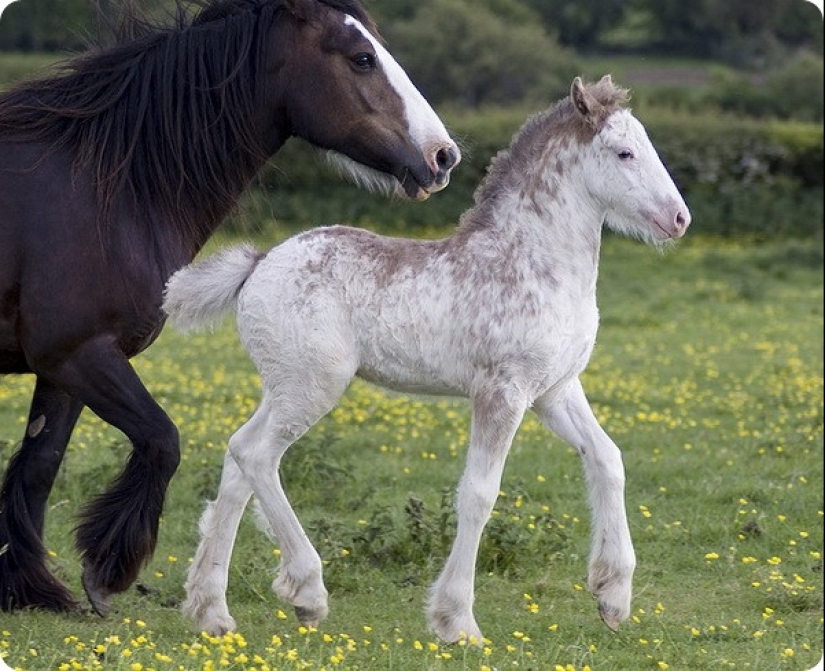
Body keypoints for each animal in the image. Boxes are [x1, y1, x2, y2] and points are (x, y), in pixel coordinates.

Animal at [0, 0, 458, 616]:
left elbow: (38, 467)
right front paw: (105, 571)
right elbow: (162, 440)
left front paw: (32, 589)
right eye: (362, 58)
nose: (443, 156)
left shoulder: (61, 367)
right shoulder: (80, 354)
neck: (103, 190)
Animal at [163, 76, 688, 644]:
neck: (531, 262)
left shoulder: (554, 390)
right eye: (624, 152)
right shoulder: (503, 392)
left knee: (238, 457)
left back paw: (211, 610)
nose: (679, 218)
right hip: (313, 387)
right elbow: (479, 494)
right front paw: (457, 620)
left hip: (284, 387)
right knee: (258, 456)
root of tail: (259, 263)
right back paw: (307, 591)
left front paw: (612, 596)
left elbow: (608, 459)